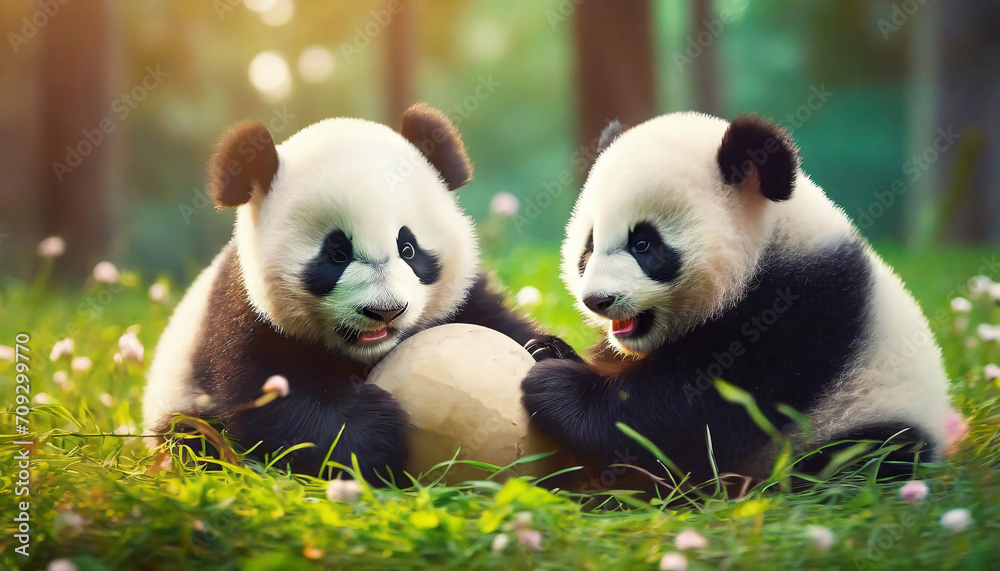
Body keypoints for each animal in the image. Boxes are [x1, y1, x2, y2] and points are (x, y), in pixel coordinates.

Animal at [143, 103, 555, 482]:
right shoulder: (244, 318)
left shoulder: (466, 299)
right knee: (192, 436)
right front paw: (376, 427)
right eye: (336, 254)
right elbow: (273, 406)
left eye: (409, 249)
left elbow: (506, 326)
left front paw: (547, 364)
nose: (386, 311)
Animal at [522, 112, 952, 484]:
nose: (598, 300)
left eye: (643, 244)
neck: (770, 242)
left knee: (862, 458)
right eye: (589, 246)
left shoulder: (797, 311)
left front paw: (558, 387)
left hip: (862, 418)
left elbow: (695, 412)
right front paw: (547, 349)